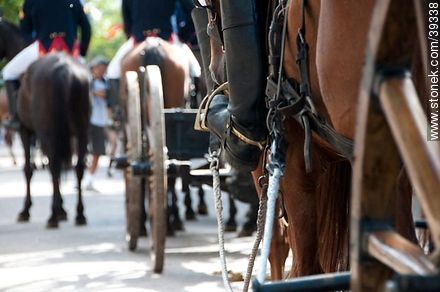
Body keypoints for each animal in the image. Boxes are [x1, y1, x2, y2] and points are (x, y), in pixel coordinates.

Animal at [0, 19, 90, 228]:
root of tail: (64, 67)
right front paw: (63, 209)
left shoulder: (25, 132)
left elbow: (28, 169)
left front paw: (26, 210)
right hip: (81, 130)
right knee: (78, 167)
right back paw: (79, 214)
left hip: (47, 131)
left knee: (54, 165)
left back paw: (53, 216)